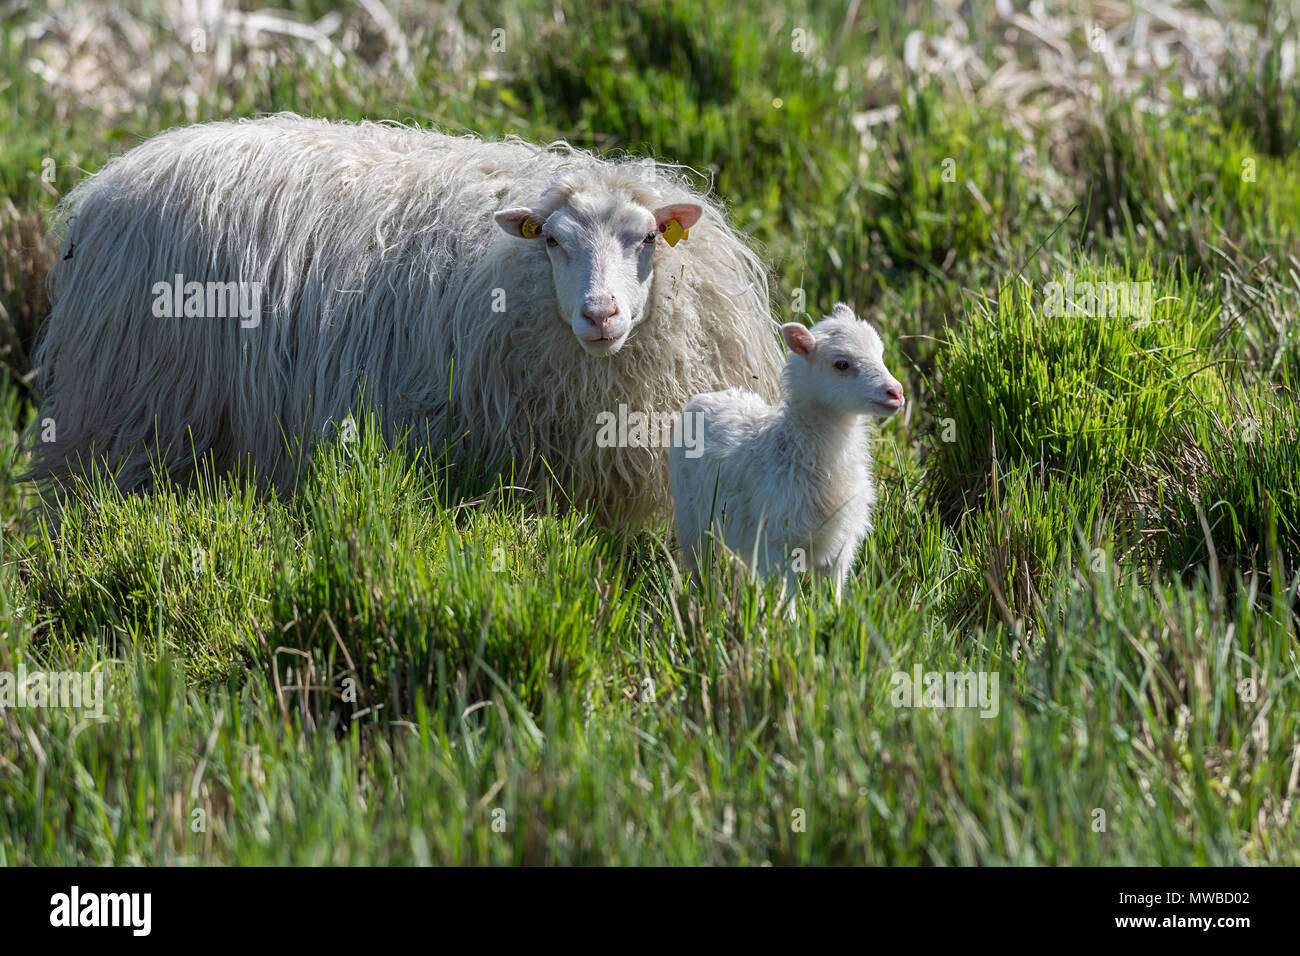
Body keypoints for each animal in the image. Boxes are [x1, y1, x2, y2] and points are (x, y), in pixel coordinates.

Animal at [670, 304, 904, 613]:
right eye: (841, 364)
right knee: (700, 569)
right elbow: (787, 599)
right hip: (692, 522)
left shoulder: (839, 546)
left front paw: (833, 618)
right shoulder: (778, 543)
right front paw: (789, 624)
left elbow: (833, 596)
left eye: (880, 352)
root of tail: (707, 396)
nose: (896, 393)